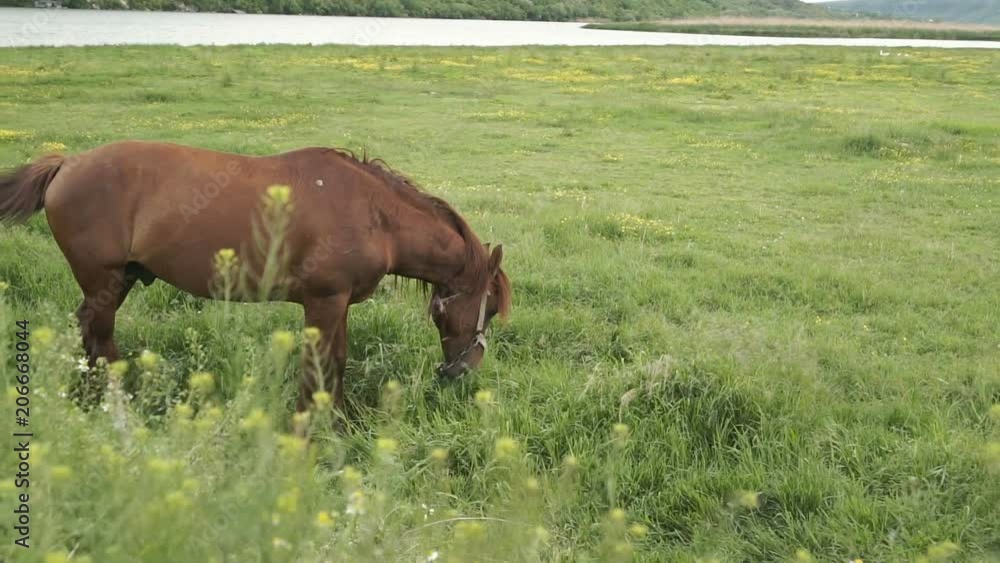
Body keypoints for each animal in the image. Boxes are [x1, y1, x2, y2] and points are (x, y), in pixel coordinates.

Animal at [0, 141, 511, 413]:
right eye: (487, 307)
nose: (464, 369)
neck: (374, 214)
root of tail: (67, 164)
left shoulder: (338, 303)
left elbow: (336, 362)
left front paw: (338, 419)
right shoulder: (324, 302)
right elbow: (319, 365)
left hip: (116, 281)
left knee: (89, 333)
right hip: (103, 282)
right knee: (100, 338)